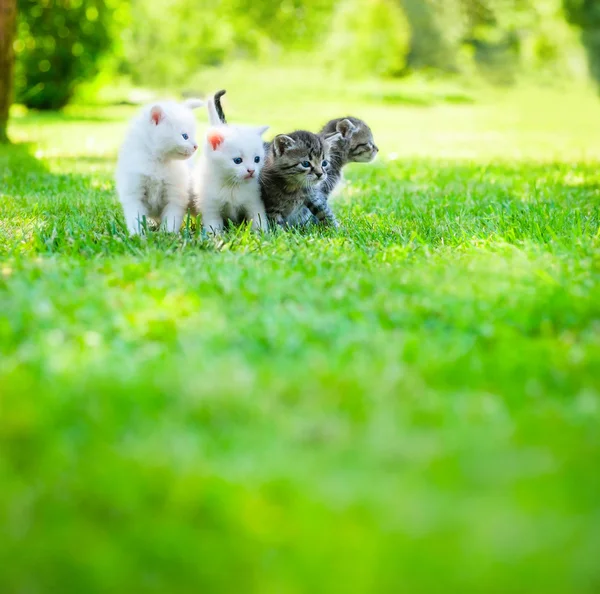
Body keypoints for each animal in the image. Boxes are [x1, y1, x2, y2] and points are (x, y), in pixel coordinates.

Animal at [116, 97, 203, 234]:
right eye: (185, 136)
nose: (196, 146)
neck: (158, 161)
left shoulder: (175, 195)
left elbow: (172, 217)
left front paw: (168, 234)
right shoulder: (134, 192)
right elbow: (135, 217)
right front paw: (137, 234)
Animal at [195, 96, 270, 232]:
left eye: (257, 159)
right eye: (238, 161)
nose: (251, 170)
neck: (232, 186)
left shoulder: (254, 200)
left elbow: (258, 218)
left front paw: (262, 233)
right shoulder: (210, 207)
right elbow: (213, 226)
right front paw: (216, 237)